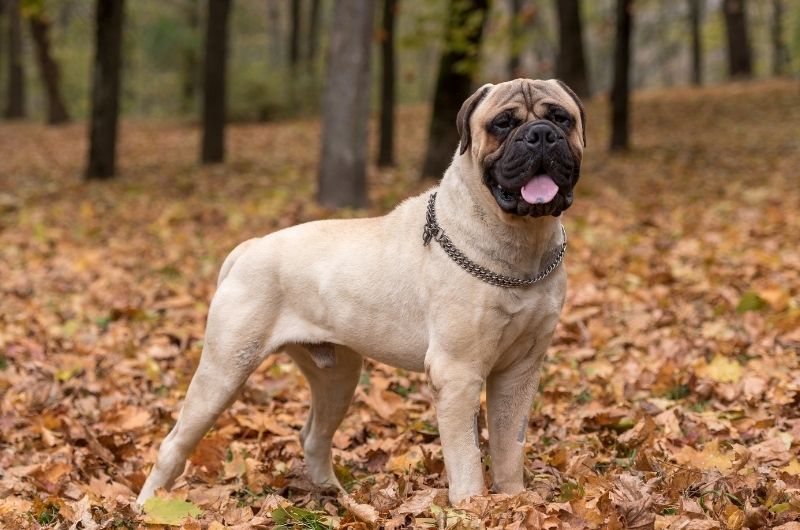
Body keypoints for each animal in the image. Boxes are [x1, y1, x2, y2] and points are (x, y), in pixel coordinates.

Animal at [136, 77, 588, 504]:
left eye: (562, 118)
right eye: (503, 124)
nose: (541, 134)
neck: (522, 247)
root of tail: (249, 247)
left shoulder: (519, 371)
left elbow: (510, 448)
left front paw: (514, 502)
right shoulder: (457, 372)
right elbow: (466, 459)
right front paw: (472, 508)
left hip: (337, 376)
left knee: (314, 437)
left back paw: (335, 496)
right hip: (224, 370)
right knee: (174, 444)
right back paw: (147, 505)